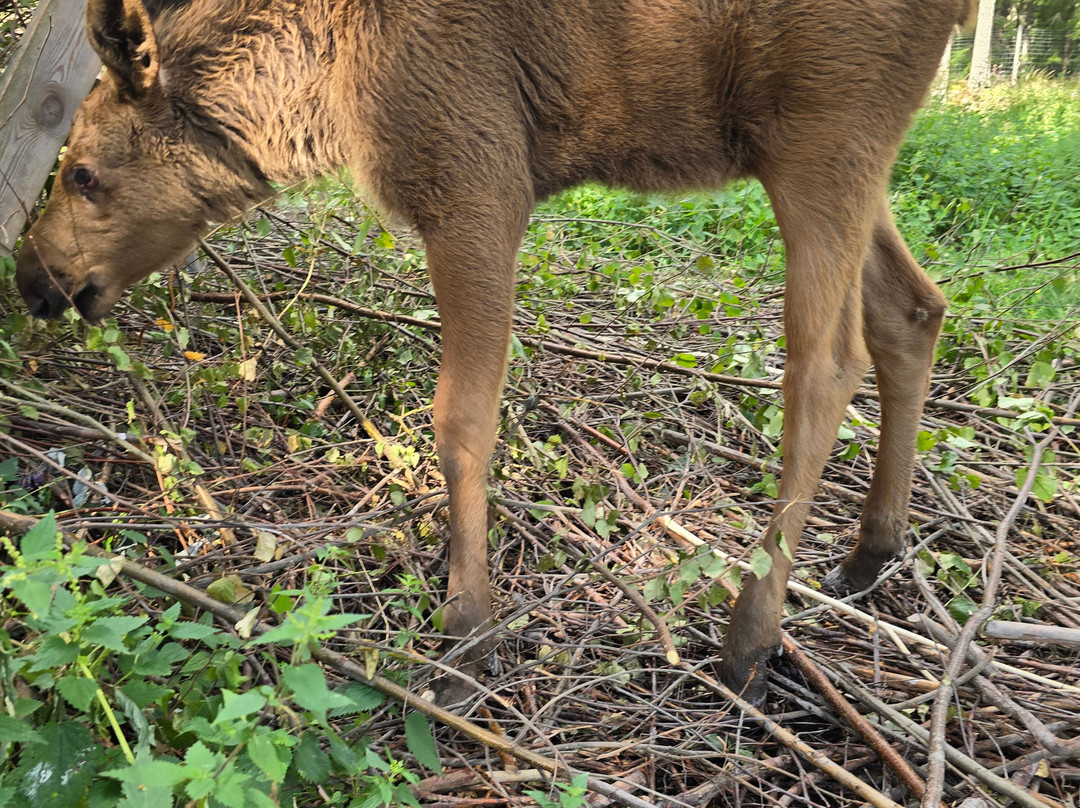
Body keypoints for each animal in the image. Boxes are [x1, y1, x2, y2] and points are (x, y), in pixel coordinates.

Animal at [14, 0, 972, 704]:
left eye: (85, 173)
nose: (30, 278)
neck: (314, 86)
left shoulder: (478, 184)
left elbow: (461, 420)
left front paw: (468, 628)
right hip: (829, 153)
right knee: (914, 309)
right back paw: (872, 549)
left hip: (826, 128)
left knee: (826, 365)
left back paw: (751, 637)